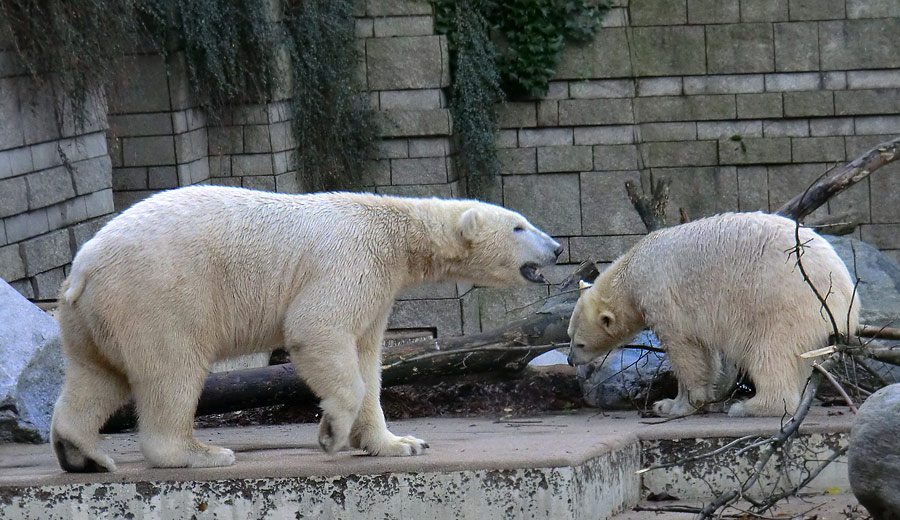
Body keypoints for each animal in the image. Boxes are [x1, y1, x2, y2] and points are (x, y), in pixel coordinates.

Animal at [51, 186, 564, 472]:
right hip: (158, 295)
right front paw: (330, 433)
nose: (558, 247)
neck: (396, 230)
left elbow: (367, 357)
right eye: (519, 227)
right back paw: (200, 452)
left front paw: (401, 443)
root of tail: (84, 266)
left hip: (90, 315)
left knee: (95, 376)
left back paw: (81, 454)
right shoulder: (352, 258)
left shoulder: (379, 286)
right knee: (172, 369)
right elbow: (319, 328)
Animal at [568, 211, 856, 418]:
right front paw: (694, 399)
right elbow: (706, 352)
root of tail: (845, 291)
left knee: (771, 352)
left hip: (782, 300)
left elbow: (685, 351)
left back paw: (749, 407)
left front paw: (676, 405)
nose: (570, 360)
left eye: (579, 343)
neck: (633, 269)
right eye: (569, 335)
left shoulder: (661, 296)